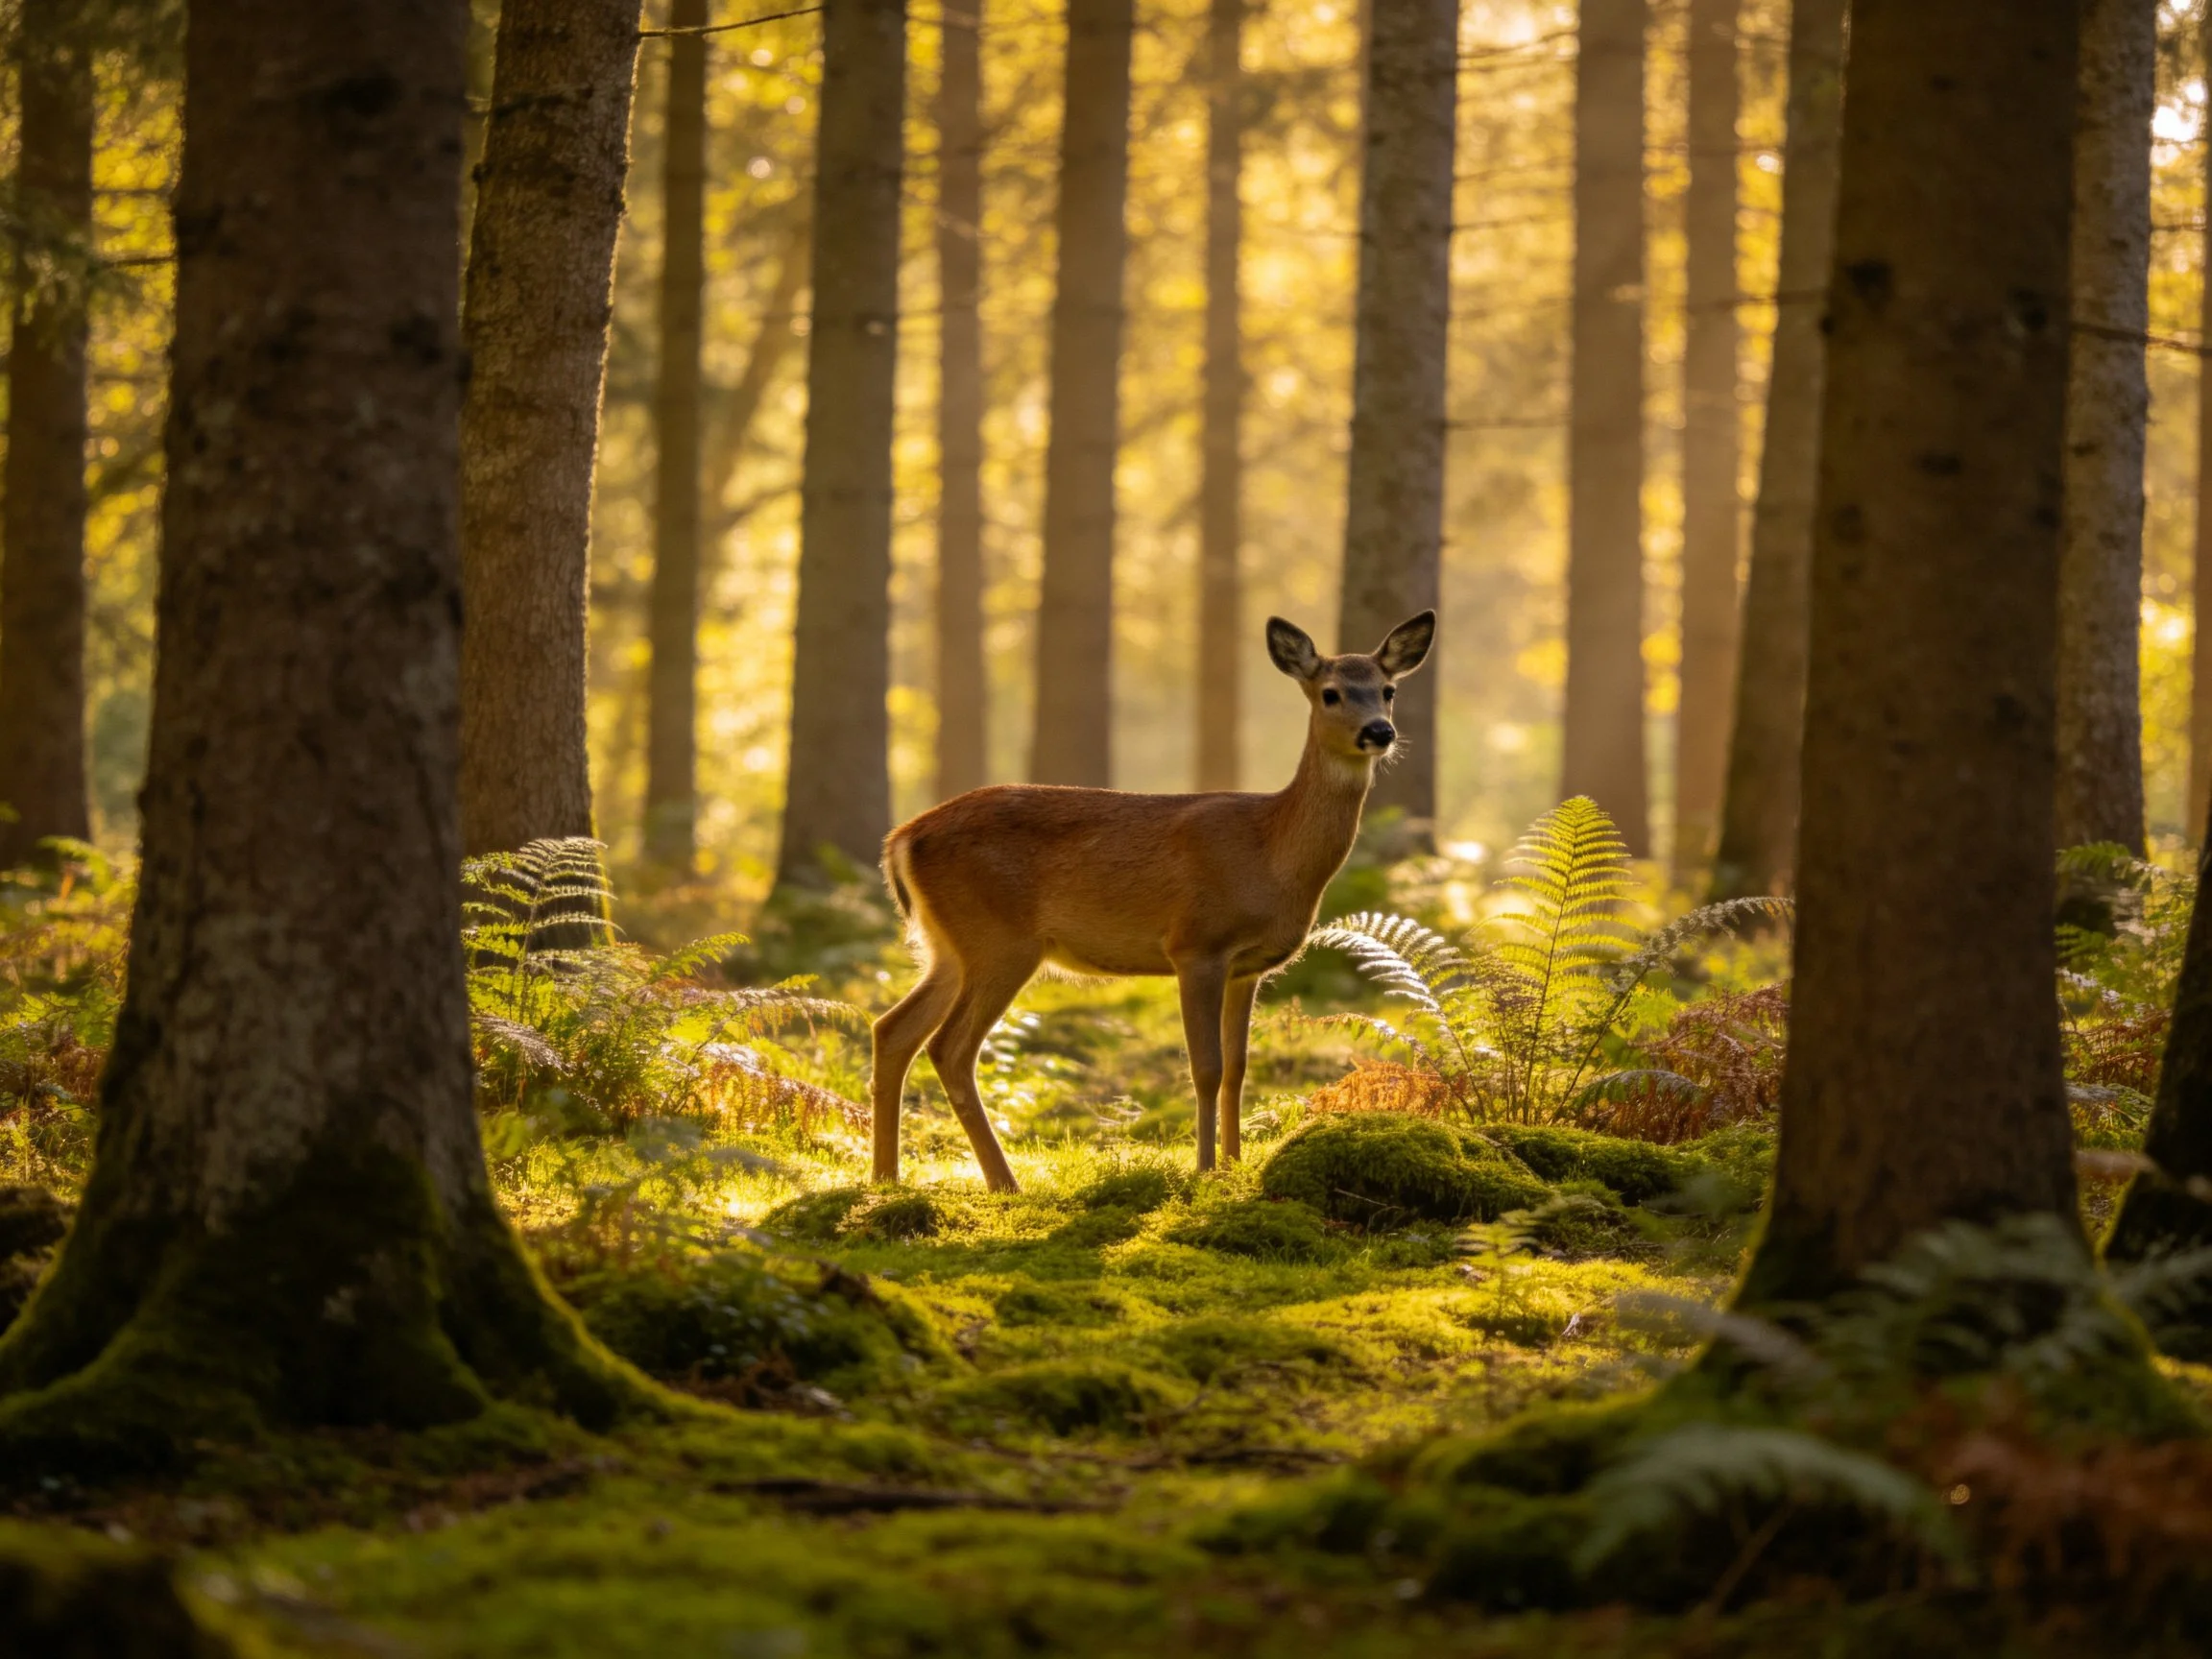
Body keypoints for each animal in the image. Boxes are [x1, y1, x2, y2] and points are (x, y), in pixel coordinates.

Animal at [870, 609, 1436, 1192]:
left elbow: (1238, 1068)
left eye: (1388, 690)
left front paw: (1234, 1167)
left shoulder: (1248, 967)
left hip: (948, 947)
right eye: (1330, 693)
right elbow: (1206, 1067)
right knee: (950, 1047)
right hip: (999, 941)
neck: (1270, 852)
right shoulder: (1196, 945)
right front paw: (1205, 1171)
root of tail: (901, 841)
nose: (1379, 731)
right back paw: (1005, 1183)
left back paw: (885, 1178)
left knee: (892, 1030)